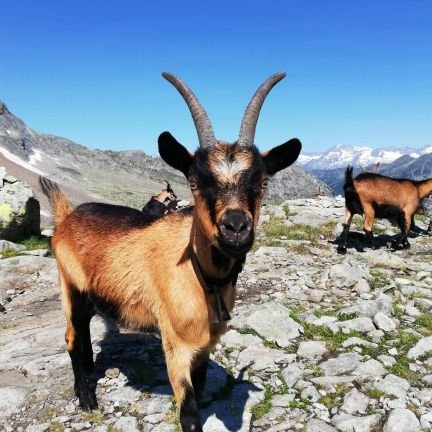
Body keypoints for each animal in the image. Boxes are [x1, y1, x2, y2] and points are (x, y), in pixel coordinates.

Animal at [40, 71, 300, 432]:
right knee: (71, 336)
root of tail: (67, 217)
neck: (200, 277)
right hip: (70, 287)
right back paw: (87, 397)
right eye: (194, 182)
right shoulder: (175, 344)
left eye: (262, 182)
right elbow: (189, 412)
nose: (235, 228)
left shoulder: (204, 346)